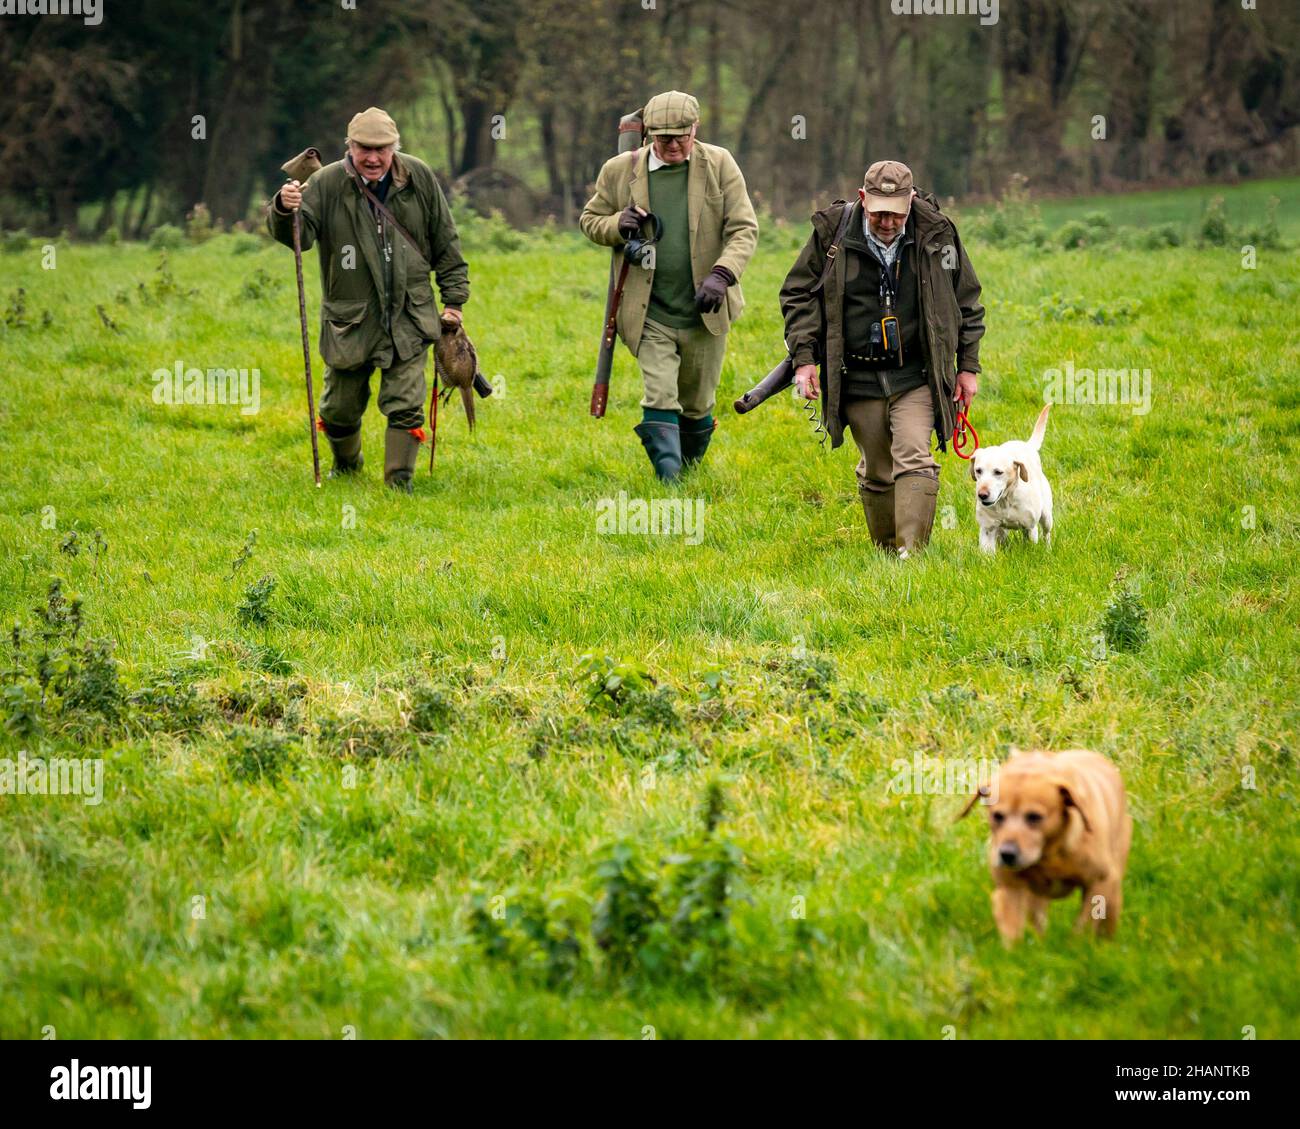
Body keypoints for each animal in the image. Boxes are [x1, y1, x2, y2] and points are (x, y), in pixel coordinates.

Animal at [961, 749, 1133, 941]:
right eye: (997, 816)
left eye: (1034, 816)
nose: (1007, 854)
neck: (1049, 855)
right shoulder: (1011, 889)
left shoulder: (1100, 882)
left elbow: (1084, 927)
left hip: (1114, 892)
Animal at [972, 403, 1050, 554]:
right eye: (978, 470)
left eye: (998, 472)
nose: (982, 494)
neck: (1005, 501)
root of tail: (1027, 445)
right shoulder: (987, 529)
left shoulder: (1030, 528)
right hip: (1001, 530)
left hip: (1046, 516)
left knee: (1047, 533)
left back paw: (1048, 548)